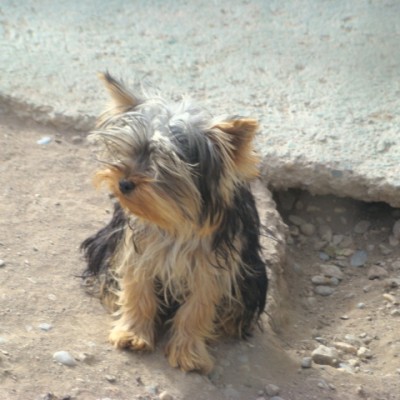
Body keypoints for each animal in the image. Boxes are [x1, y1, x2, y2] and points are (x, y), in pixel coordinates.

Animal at [80, 72, 268, 376]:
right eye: (130, 152)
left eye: (163, 166)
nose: (123, 183)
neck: (175, 221)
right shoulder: (138, 249)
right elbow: (138, 289)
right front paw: (132, 334)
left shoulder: (213, 265)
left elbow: (198, 308)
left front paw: (188, 352)